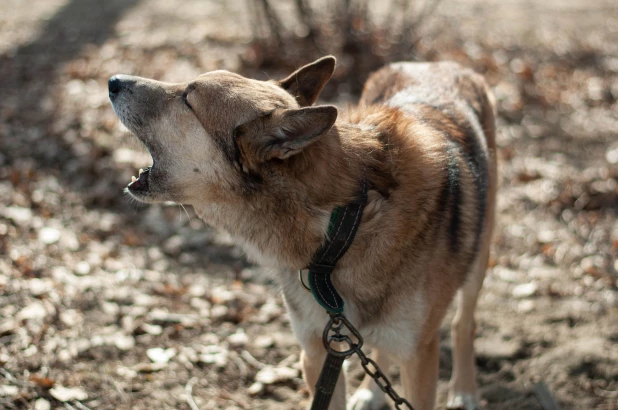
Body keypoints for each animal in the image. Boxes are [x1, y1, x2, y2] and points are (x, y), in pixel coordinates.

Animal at [108, 55, 496, 410]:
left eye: (188, 99)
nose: (112, 80)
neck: (341, 227)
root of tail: (435, 62)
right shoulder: (316, 352)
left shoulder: (418, 360)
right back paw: (371, 394)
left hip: (478, 261)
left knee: (464, 323)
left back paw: (465, 390)